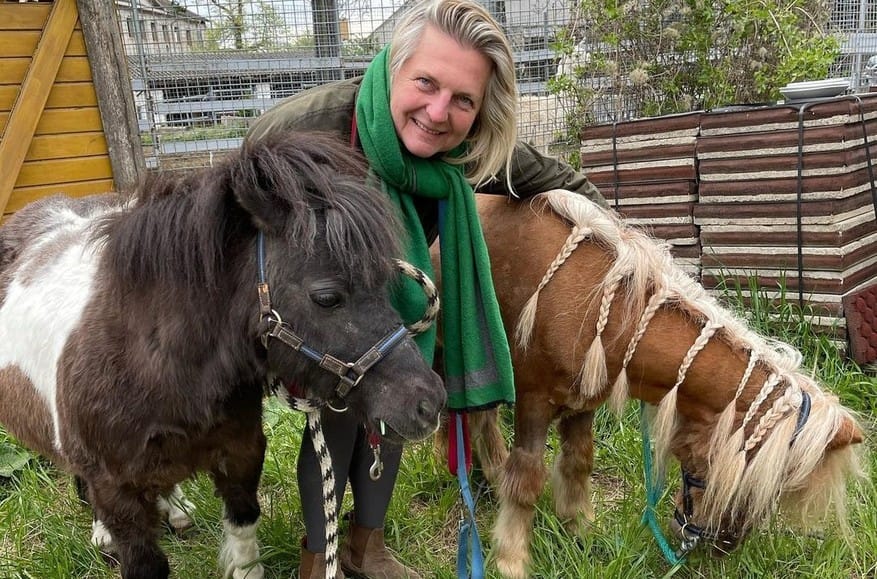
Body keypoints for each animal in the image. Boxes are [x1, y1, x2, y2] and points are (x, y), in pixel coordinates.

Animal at [0, 132, 446, 579]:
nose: (429, 401)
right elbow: (142, 558)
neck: (152, 360)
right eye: (326, 297)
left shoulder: (242, 451)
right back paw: (102, 533)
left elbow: (244, 525)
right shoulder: (116, 489)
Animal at [454, 190, 863, 579]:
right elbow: (525, 481)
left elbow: (578, 463)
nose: (723, 547)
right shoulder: (533, 400)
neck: (596, 304)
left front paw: (580, 531)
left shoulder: (583, 403)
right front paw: (511, 560)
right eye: (747, 479)